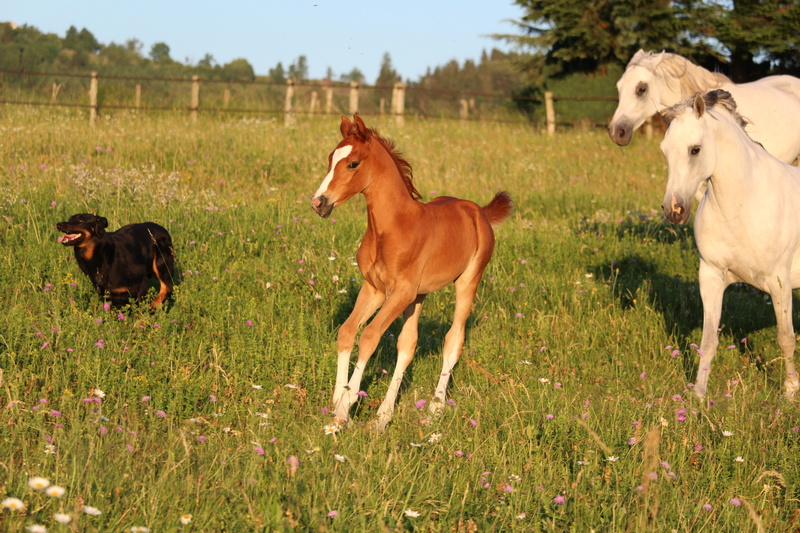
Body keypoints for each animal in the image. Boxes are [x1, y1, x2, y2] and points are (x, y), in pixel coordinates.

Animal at [660, 90, 800, 400]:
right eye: (664, 149)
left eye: (695, 149)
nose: (674, 210)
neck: (745, 203)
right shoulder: (711, 276)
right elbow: (708, 340)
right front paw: (698, 395)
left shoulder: (779, 283)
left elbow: (785, 338)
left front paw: (789, 392)